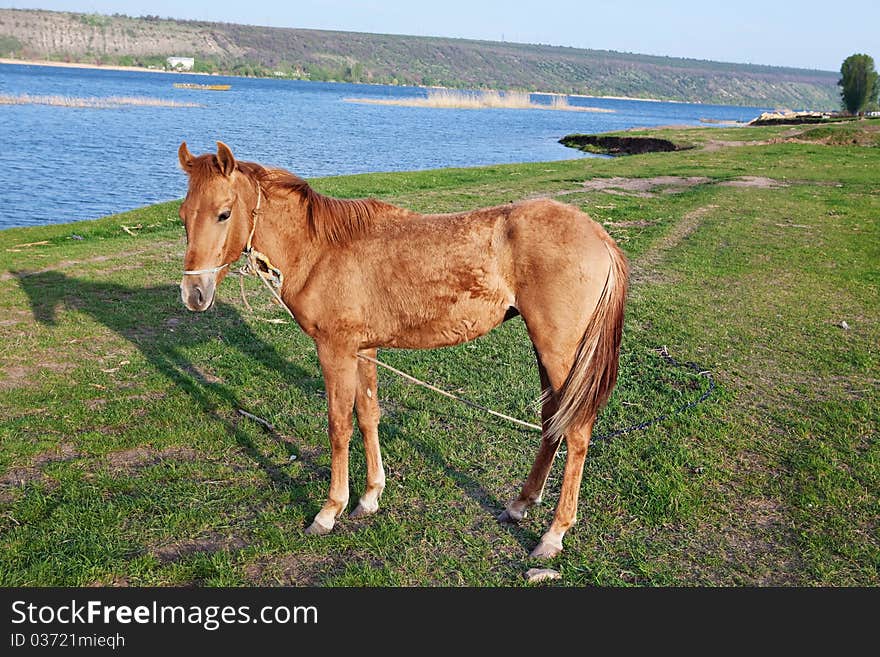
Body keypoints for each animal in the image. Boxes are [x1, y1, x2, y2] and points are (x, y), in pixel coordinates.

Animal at [175, 141, 624, 556]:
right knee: (552, 421)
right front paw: (370, 496)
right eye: (183, 216)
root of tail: (599, 235)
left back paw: (553, 534)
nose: (194, 294)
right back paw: (521, 503)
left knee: (576, 431)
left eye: (223, 213)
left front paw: (330, 510)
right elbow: (368, 415)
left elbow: (339, 426)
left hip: (559, 352)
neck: (321, 250)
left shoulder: (335, 350)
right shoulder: (363, 350)